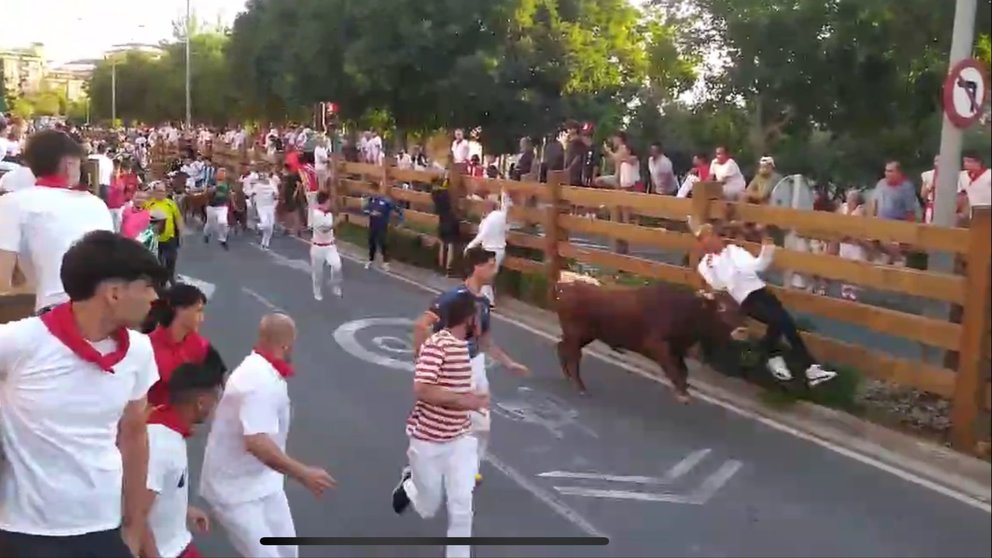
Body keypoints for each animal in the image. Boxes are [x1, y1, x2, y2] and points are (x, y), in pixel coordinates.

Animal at [556, 282, 748, 404]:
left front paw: (684, 390)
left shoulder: (678, 350)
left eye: (739, 308)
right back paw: (580, 386)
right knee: (574, 356)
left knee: (562, 347)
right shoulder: (656, 345)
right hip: (576, 333)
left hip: (583, 335)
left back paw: (568, 376)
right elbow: (673, 369)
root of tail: (566, 286)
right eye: (721, 307)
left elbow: (683, 371)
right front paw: (683, 395)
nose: (742, 330)